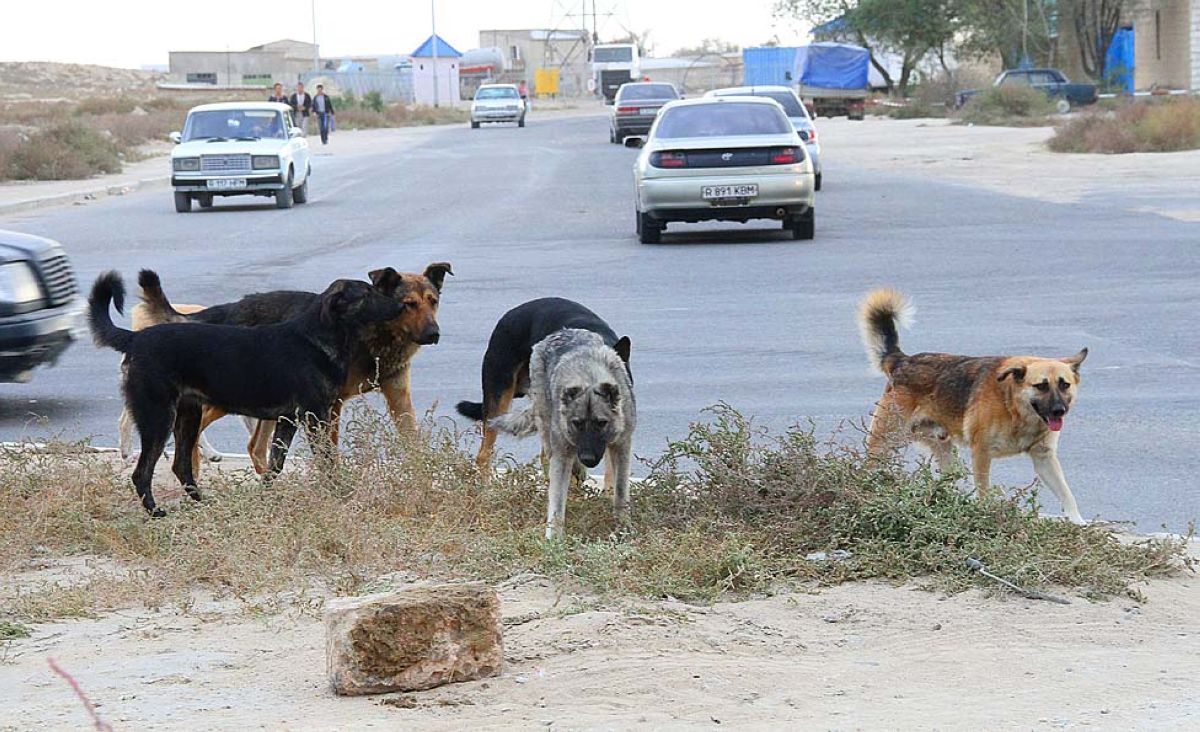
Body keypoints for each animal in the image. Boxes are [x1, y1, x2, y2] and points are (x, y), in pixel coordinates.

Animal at [88, 271, 405, 516]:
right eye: (366, 294)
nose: (401, 305)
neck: (316, 338)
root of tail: (135, 338)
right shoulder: (315, 416)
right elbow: (325, 460)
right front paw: (338, 492)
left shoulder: (288, 420)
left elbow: (275, 465)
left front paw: (267, 497)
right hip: (158, 417)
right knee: (142, 472)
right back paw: (156, 512)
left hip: (188, 416)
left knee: (181, 466)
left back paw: (204, 503)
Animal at [131, 265, 451, 470]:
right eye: (408, 304)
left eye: (433, 302)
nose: (434, 334)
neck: (379, 337)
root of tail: (232, 307)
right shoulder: (330, 405)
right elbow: (329, 451)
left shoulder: (398, 397)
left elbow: (412, 443)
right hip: (229, 398)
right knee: (194, 434)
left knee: (254, 447)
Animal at [487, 328, 638, 537]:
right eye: (577, 423)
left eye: (601, 423)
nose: (588, 458)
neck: (589, 377)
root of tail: (559, 332)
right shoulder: (562, 454)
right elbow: (557, 502)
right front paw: (554, 537)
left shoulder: (621, 446)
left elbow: (621, 491)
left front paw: (623, 526)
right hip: (549, 435)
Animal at [859, 288, 1094, 520]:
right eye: (1041, 386)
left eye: (1064, 385)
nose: (1059, 411)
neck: (1013, 406)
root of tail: (902, 360)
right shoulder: (981, 453)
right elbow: (983, 491)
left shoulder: (1044, 458)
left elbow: (1067, 495)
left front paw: (1078, 523)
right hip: (885, 444)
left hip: (945, 453)